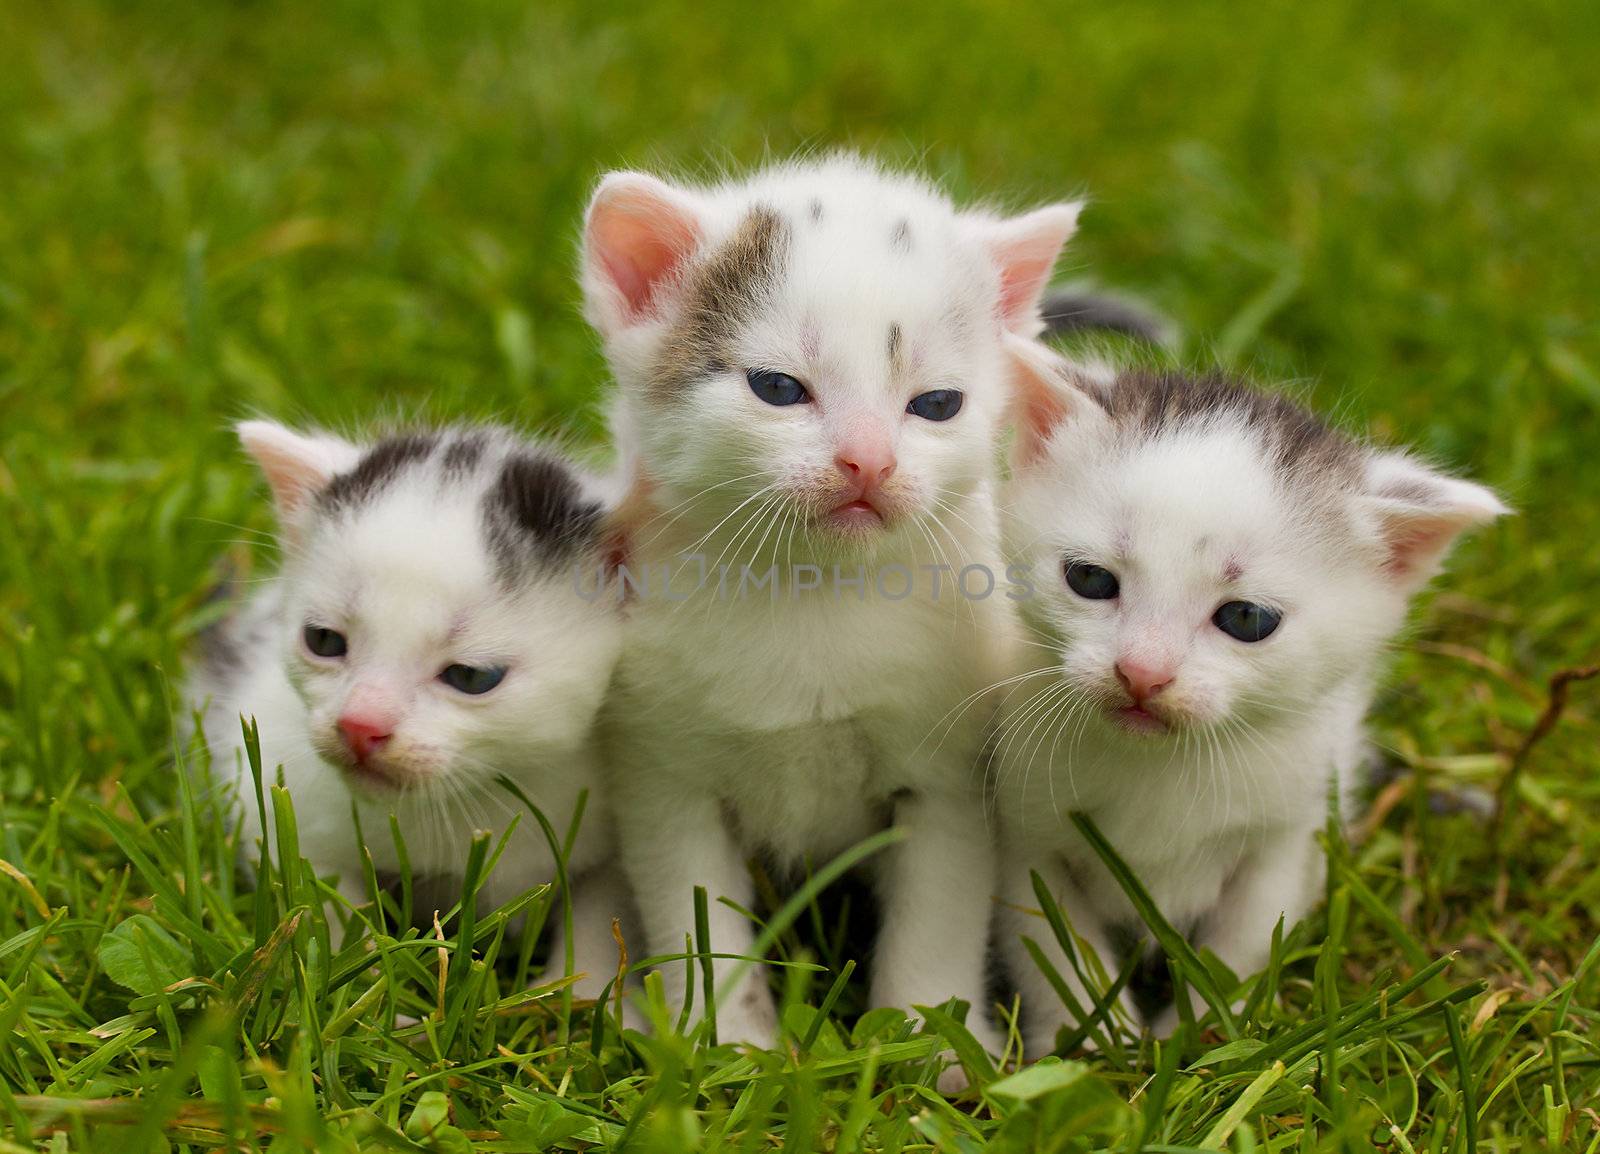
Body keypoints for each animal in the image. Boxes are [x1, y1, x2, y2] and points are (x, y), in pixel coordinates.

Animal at [190, 419, 627, 992]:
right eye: (324, 641)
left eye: (471, 677)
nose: (360, 725)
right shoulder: (276, 789)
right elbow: (320, 896)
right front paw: (364, 987)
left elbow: (606, 908)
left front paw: (577, 993)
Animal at [582, 155, 1081, 1062]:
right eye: (779, 388)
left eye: (937, 404)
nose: (869, 461)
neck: (812, 594)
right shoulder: (663, 771)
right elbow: (693, 907)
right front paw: (729, 1046)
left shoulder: (949, 776)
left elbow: (938, 917)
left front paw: (930, 1044)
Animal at [992, 353, 1504, 1056]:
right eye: (1090, 579)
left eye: (1245, 618)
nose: (1142, 673)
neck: (1159, 766)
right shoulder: (1025, 834)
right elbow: (1053, 945)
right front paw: (1096, 1047)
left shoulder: (1286, 834)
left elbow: (1242, 941)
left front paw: (1205, 1040)